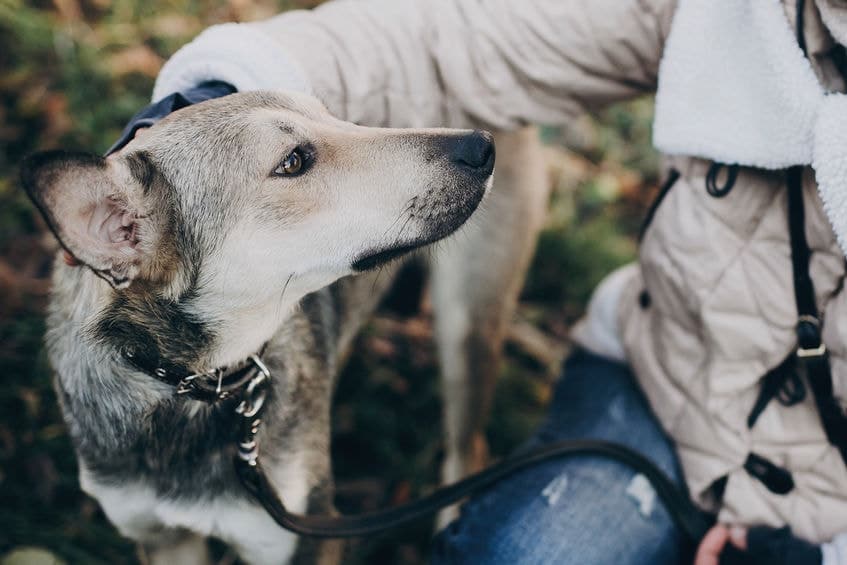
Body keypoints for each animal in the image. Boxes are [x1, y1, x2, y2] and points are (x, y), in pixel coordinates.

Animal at [23, 90, 548, 560]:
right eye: (294, 162)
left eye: (336, 116)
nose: (480, 147)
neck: (188, 389)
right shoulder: (161, 537)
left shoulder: (306, 534)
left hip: (468, 327)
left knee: (467, 450)